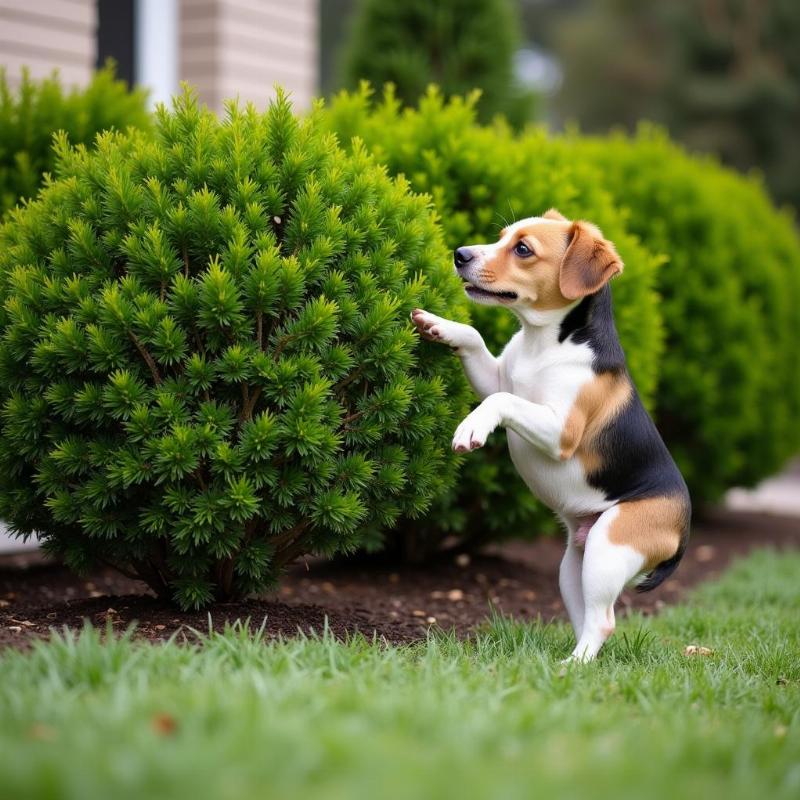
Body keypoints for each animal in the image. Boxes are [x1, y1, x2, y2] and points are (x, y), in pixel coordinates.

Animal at [412, 209, 688, 660]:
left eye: (523, 249)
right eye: (501, 237)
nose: (460, 254)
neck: (542, 342)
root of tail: (683, 530)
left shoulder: (561, 431)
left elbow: (503, 400)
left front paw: (472, 425)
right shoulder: (493, 376)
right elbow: (479, 346)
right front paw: (441, 325)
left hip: (608, 547)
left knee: (604, 621)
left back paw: (571, 666)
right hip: (573, 565)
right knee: (588, 619)